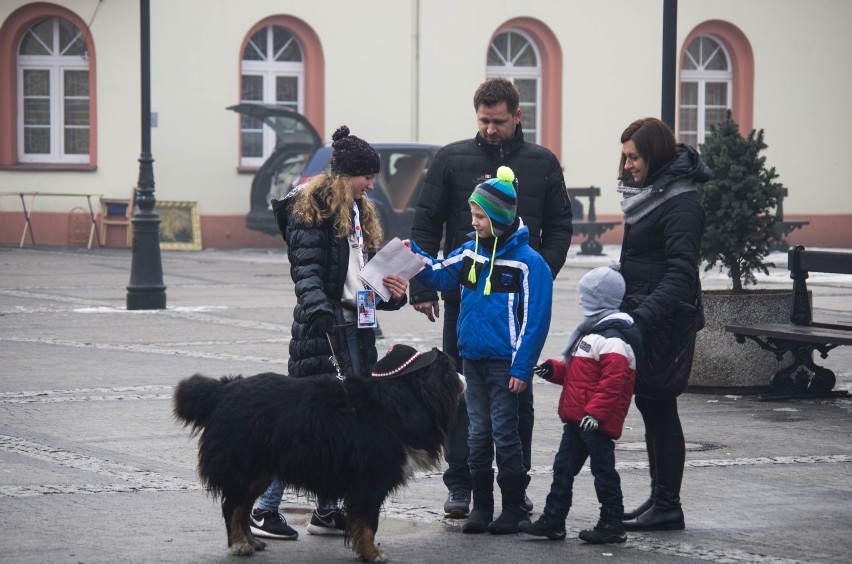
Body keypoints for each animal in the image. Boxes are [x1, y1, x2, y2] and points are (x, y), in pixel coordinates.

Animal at [173, 346, 462, 560]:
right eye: (451, 368)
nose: (465, 377)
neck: (400, 400)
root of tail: (221, 390)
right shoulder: (370, 480)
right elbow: (368, 522)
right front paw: (372, 553)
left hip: (259, 471)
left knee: (242, 507)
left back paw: (251, 541)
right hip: (244, 465)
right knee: (233, 505)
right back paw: (239, 545)